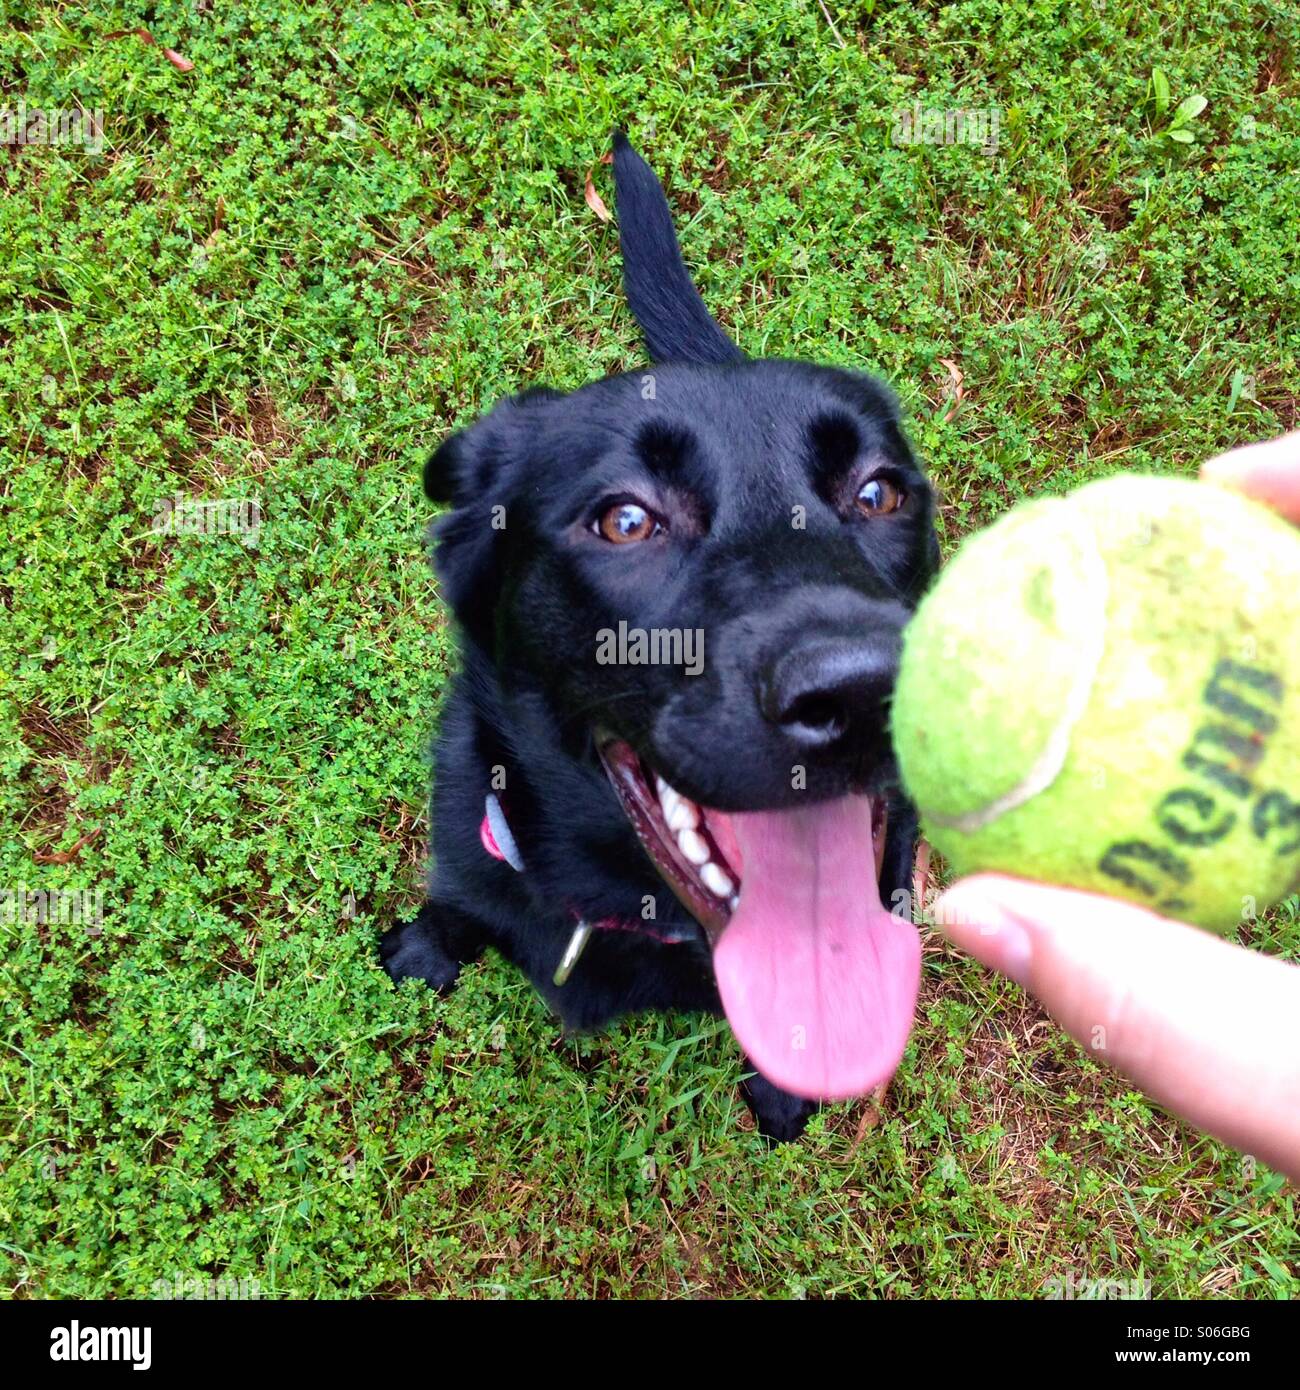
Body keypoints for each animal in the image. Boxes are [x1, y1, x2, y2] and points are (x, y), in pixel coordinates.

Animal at [380, 132, 939, 1139]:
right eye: (627, 520)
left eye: (879, 493)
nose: (862, 690)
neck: (625, 908)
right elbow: (456, 910)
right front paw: (423, 949)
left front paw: (784, 1089)